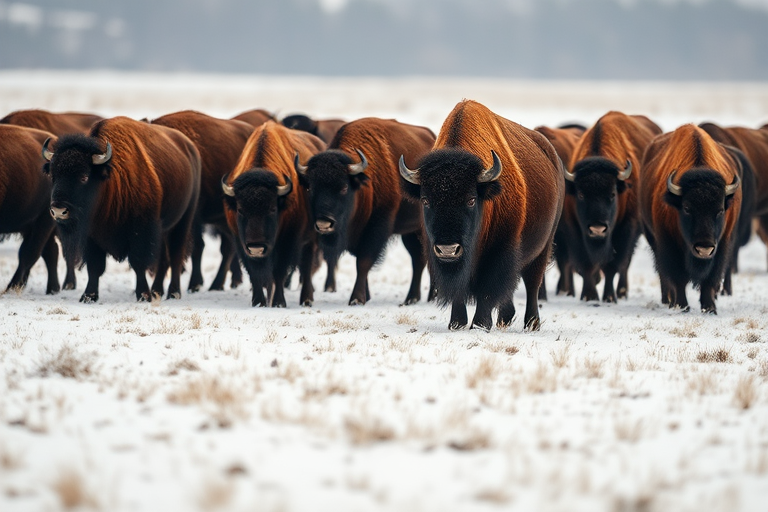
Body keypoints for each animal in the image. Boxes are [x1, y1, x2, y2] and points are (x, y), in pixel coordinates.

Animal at [42, 116, 201, 302]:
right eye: (53, 175)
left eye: (84, 177)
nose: (59, 211)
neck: (111, 181)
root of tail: (190, 148)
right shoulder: (91, 235)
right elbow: (95, 266)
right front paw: (88, 296)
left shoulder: (142, 231)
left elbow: (139, 263)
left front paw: (143, 295)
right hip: (164, 229)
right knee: (164, 259)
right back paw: (157, 291)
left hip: (183, 221)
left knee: (176, 255)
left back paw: (173, 293)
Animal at [222, 121, 325, 307]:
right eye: (240, 209)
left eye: (272, 209)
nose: (256, 247)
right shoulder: (242, 243)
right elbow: (254, 273)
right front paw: (258, 302)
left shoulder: (287, 241)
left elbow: (279, 271)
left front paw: (278, 303)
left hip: (311, 238)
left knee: (306, 267)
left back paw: (306, 299)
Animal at [295, 117, 436, 305]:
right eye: (310, 188)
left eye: (344, 187)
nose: (324, 223)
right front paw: (366, 296)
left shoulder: (375, 230)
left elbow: (363, 262)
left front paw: (357, 298)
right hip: (410, 232)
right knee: (418, 259)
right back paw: (411, 298)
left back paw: (431, 297)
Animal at [399, 100, 564, 331]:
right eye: (425, 200)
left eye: (471, 199)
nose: (448, 249)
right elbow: (460, 288)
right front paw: (457, 323)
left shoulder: (499, 251)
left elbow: (488, 290)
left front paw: (480, 324)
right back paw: (505, 319)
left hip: (544, 245)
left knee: (532, 282)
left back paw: (532, 323)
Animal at [639, 124, 742, 313]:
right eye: (687, 208)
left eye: (720, 210)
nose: (704, 248)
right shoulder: (668, 243)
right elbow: (677, 277)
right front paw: (682, 305)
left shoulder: (722, 245)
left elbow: (710, 278)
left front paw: (710, 308)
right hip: (651, 237)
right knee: (663, 274)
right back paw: (668, 300)